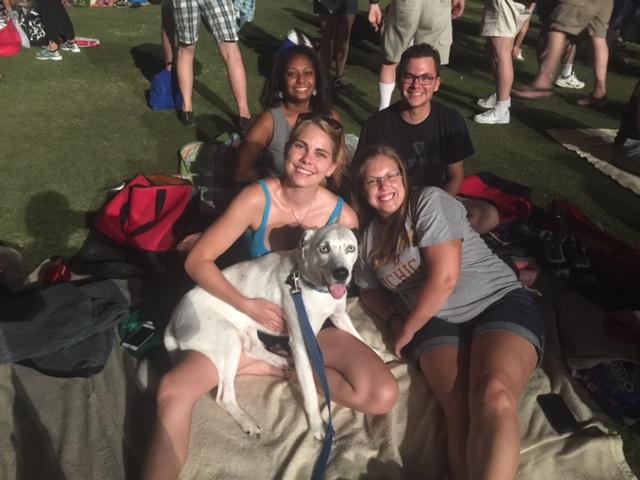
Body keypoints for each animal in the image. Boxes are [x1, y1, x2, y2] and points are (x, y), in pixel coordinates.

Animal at [164, 224, 364, 438]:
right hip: (228, 339)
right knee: (224, 397)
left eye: (350, 248)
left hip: (246, 326)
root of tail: (173, 318)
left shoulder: (340, 316)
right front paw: (318, 426)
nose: (341, 273)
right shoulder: (300, 343)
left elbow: (362, 341)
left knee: (252, 348)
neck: (306, 280)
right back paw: (247, 422)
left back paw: (280, 360)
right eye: (324, 249)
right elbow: (310, 390)